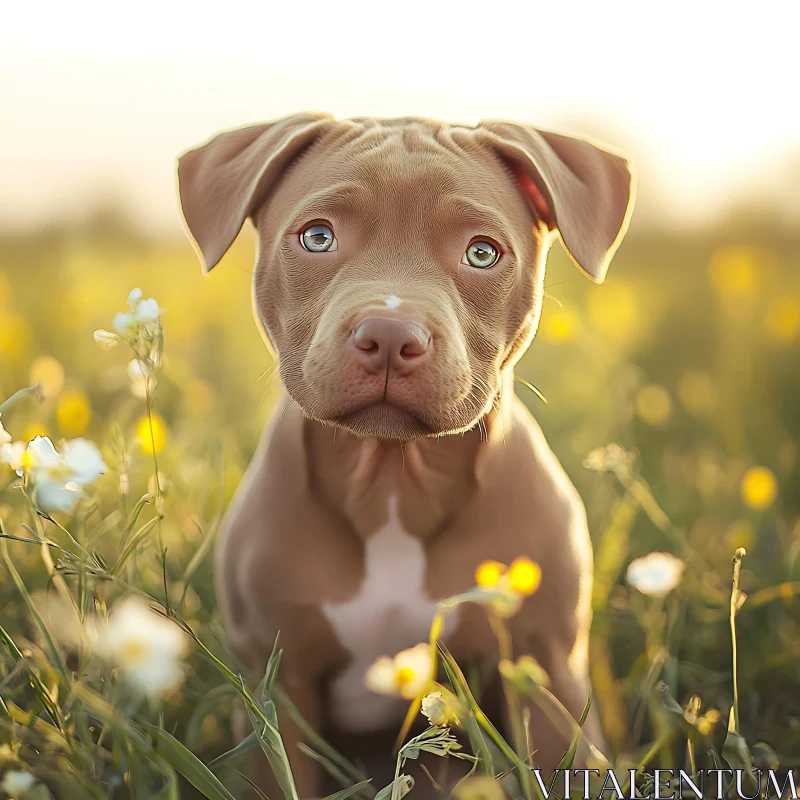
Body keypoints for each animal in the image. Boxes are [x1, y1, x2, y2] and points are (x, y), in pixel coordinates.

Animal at [178, 114, 636, 792]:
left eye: (482, 252)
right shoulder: (277, 688)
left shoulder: (543, 669)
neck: (392, 479)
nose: (391, 334)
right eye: (317, 237)